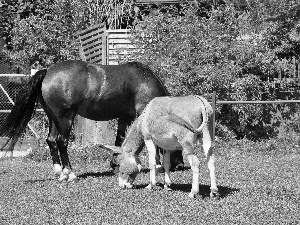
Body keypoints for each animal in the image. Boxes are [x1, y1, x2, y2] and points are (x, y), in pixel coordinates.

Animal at [0, 60, 183, 182]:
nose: (179, 164)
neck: (144, 81)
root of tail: (48, 71)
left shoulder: (124, 117)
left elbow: (119, 140)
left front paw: (115, 164)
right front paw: (157, 165)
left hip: (53, 117)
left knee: (51, 140)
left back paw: (59, 171)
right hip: (65, 118)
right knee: (61, 142)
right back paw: (69, 173)